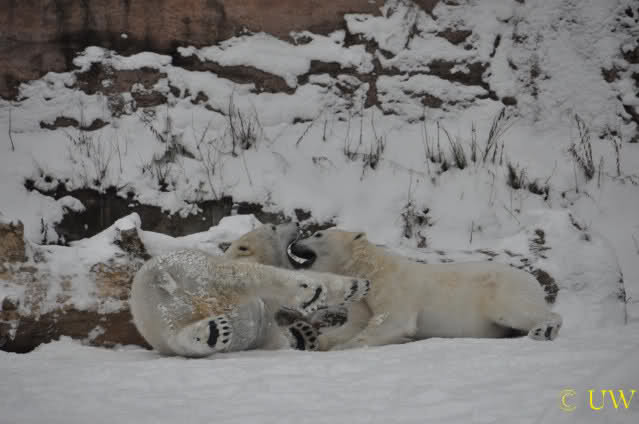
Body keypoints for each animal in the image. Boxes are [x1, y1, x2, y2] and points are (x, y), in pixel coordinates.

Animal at [130, 248, 370, 357]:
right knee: (245, 276)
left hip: (159, 315)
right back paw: (310, 291)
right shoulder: (265, 316)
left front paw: (304, 335)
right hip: (203, 268)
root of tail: (159, 275)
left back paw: (213, 332)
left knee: (174, 334)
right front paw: (355, 286)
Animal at [287, 229, 563, 350]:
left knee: (519, 311)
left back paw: (544, 329)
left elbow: (391, 322)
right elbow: (354, 325)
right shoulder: (363, 300)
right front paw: (309, 337)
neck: (372, 270)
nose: (293, 242)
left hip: (501, 290)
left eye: (317, 233)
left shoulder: (395, 288)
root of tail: (533, 280)